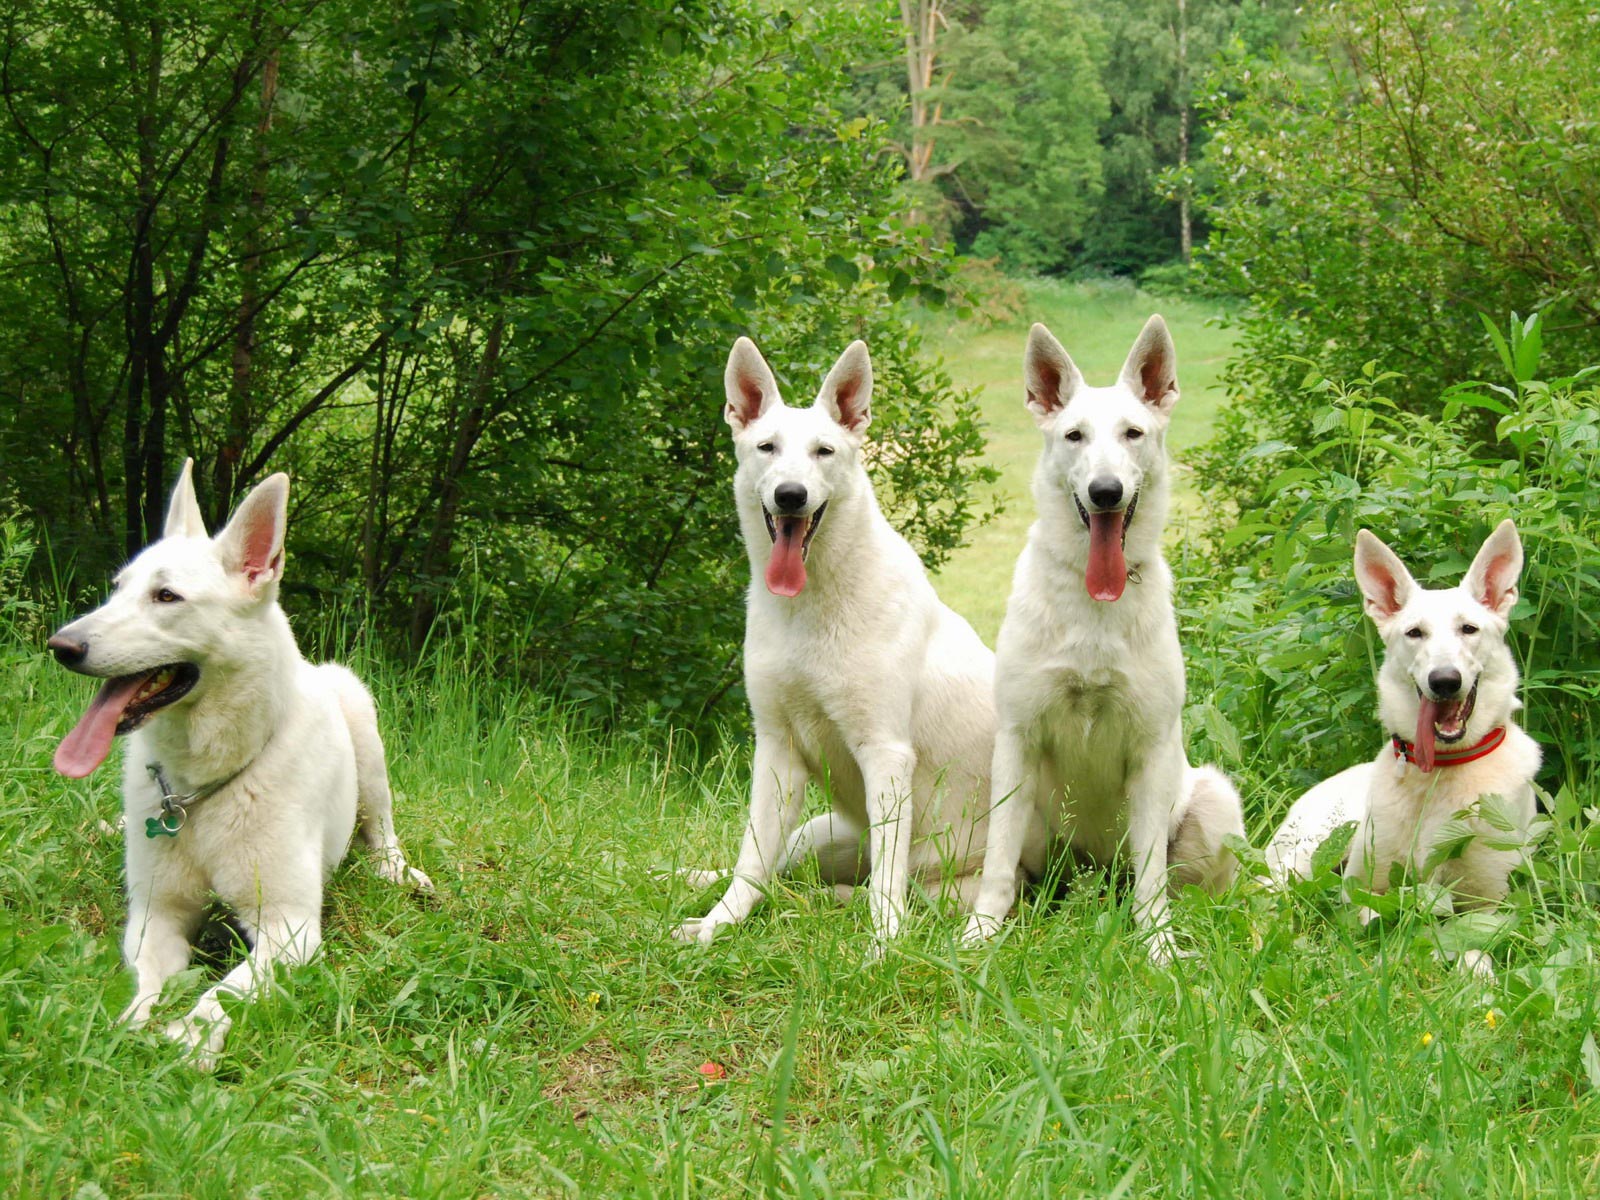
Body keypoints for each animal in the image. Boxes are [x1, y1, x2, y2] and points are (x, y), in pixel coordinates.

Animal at [48, 464, 432, 1068]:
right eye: (118, 589)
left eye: (166, 596)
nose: (60, 645)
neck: (199, 789)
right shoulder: (156, 914)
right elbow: (146, 981)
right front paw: (132, 1023)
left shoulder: (288, 928)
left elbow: (222, 991)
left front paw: (192, 1036)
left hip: (362, 723)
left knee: (382, 828)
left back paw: (397, 869)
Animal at [953, 315, 1241, 966]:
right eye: (1074, 436)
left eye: (1133, 433)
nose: (1106, 491)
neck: (1093, 610)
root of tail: (1094, 878)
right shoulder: (1017, 740)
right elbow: (997, 865)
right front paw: (981, 935)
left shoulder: (1152, 750)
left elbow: (1152, 876)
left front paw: (1158, 948)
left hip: (1214, 798)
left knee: (1177, 884)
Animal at [1260, 524, 1536, 979]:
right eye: (1414, 633)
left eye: (1469, 629)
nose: (1445, 680)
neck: (1440, 772)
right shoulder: (1364, 889)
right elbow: (1375, 918)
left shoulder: (1489, 902)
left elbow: (1475, 943)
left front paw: (1472, 974)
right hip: (1305, 855)